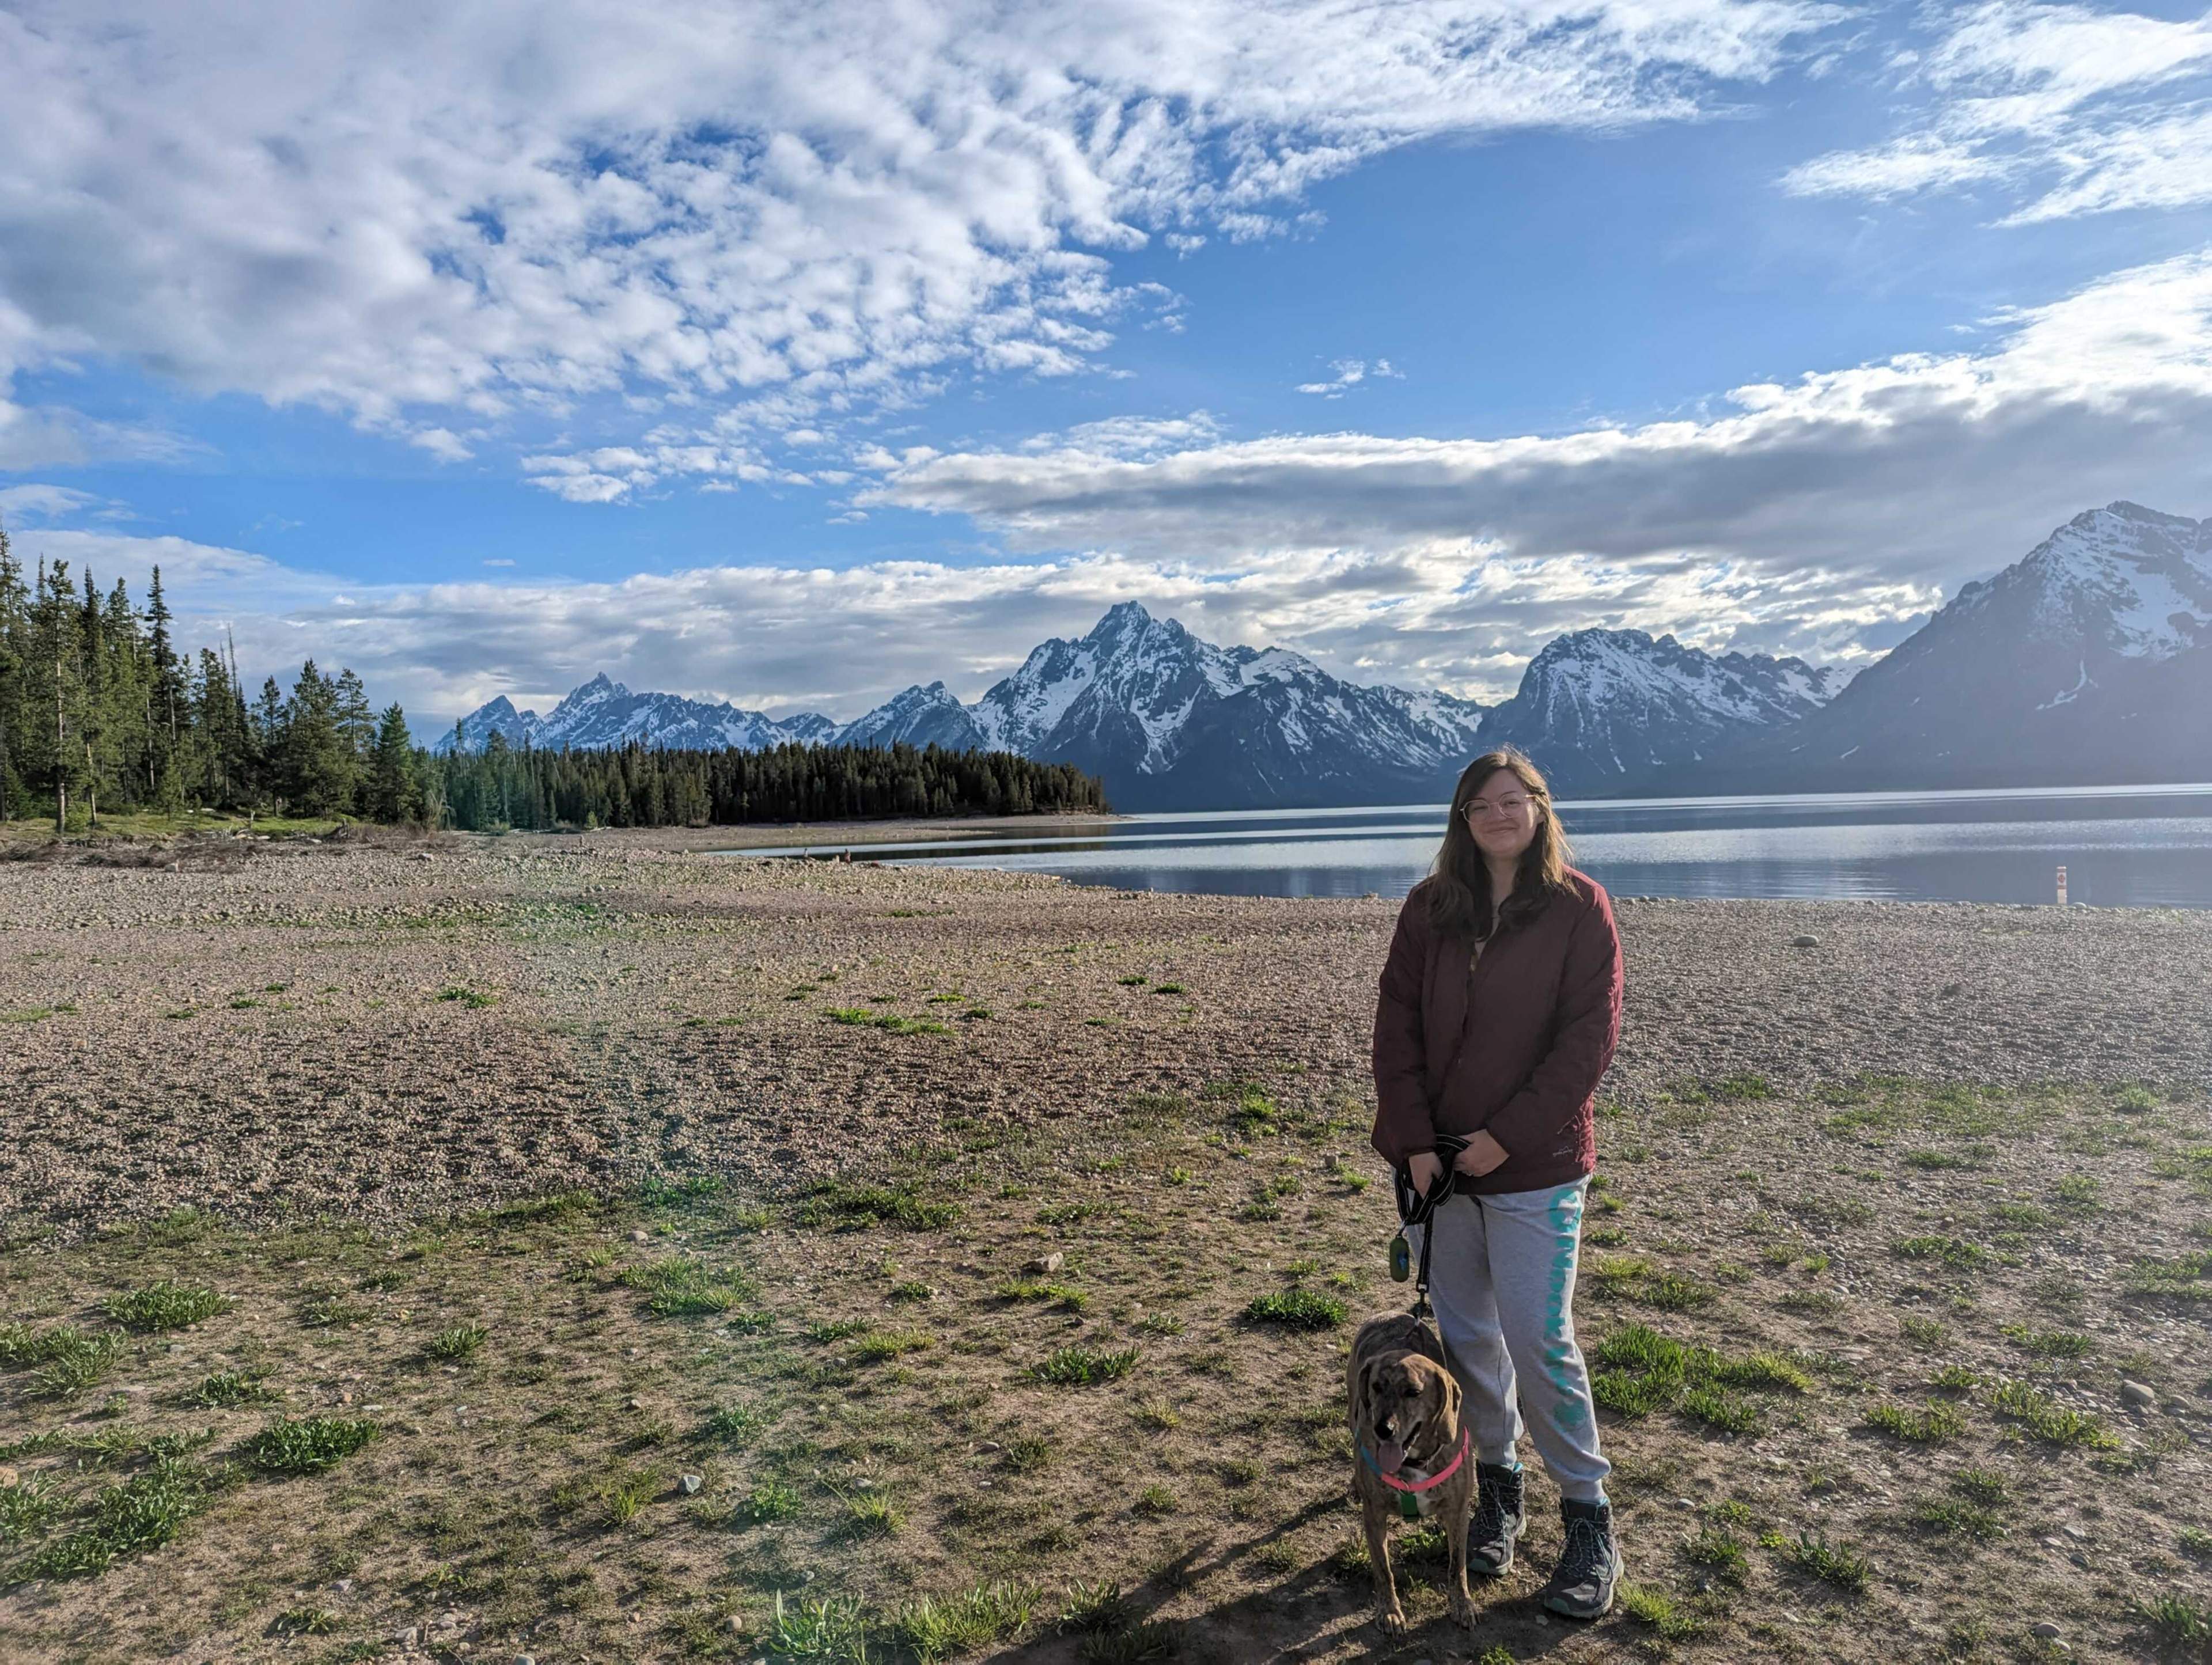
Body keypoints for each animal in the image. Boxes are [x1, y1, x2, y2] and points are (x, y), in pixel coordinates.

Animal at [1344, 1309, 1468, 1627]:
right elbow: (1383, 1569)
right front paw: (1389, 1611)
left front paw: (1463, 1605)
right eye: (1377, 1387)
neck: (1413, 1460)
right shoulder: (1374, 1515)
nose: (1382, 1430)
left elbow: (1457, 1565)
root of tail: (1391, 1314)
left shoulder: (1459, 1511)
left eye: (1413, 1392)